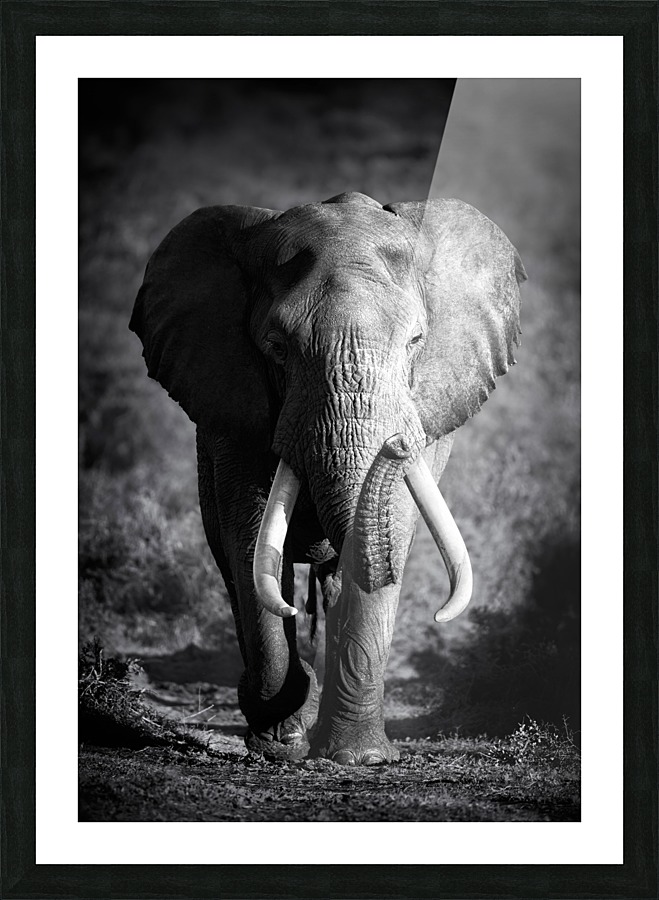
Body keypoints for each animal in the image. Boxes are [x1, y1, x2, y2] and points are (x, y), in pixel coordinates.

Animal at [130, 191, 525, 766]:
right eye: (276, 347)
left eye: (416, 341)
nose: (397, 445)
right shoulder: (232, 411)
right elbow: (249, 539)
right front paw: (280, 746)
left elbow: (392, 528)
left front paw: (360, 759)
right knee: (232, 565)